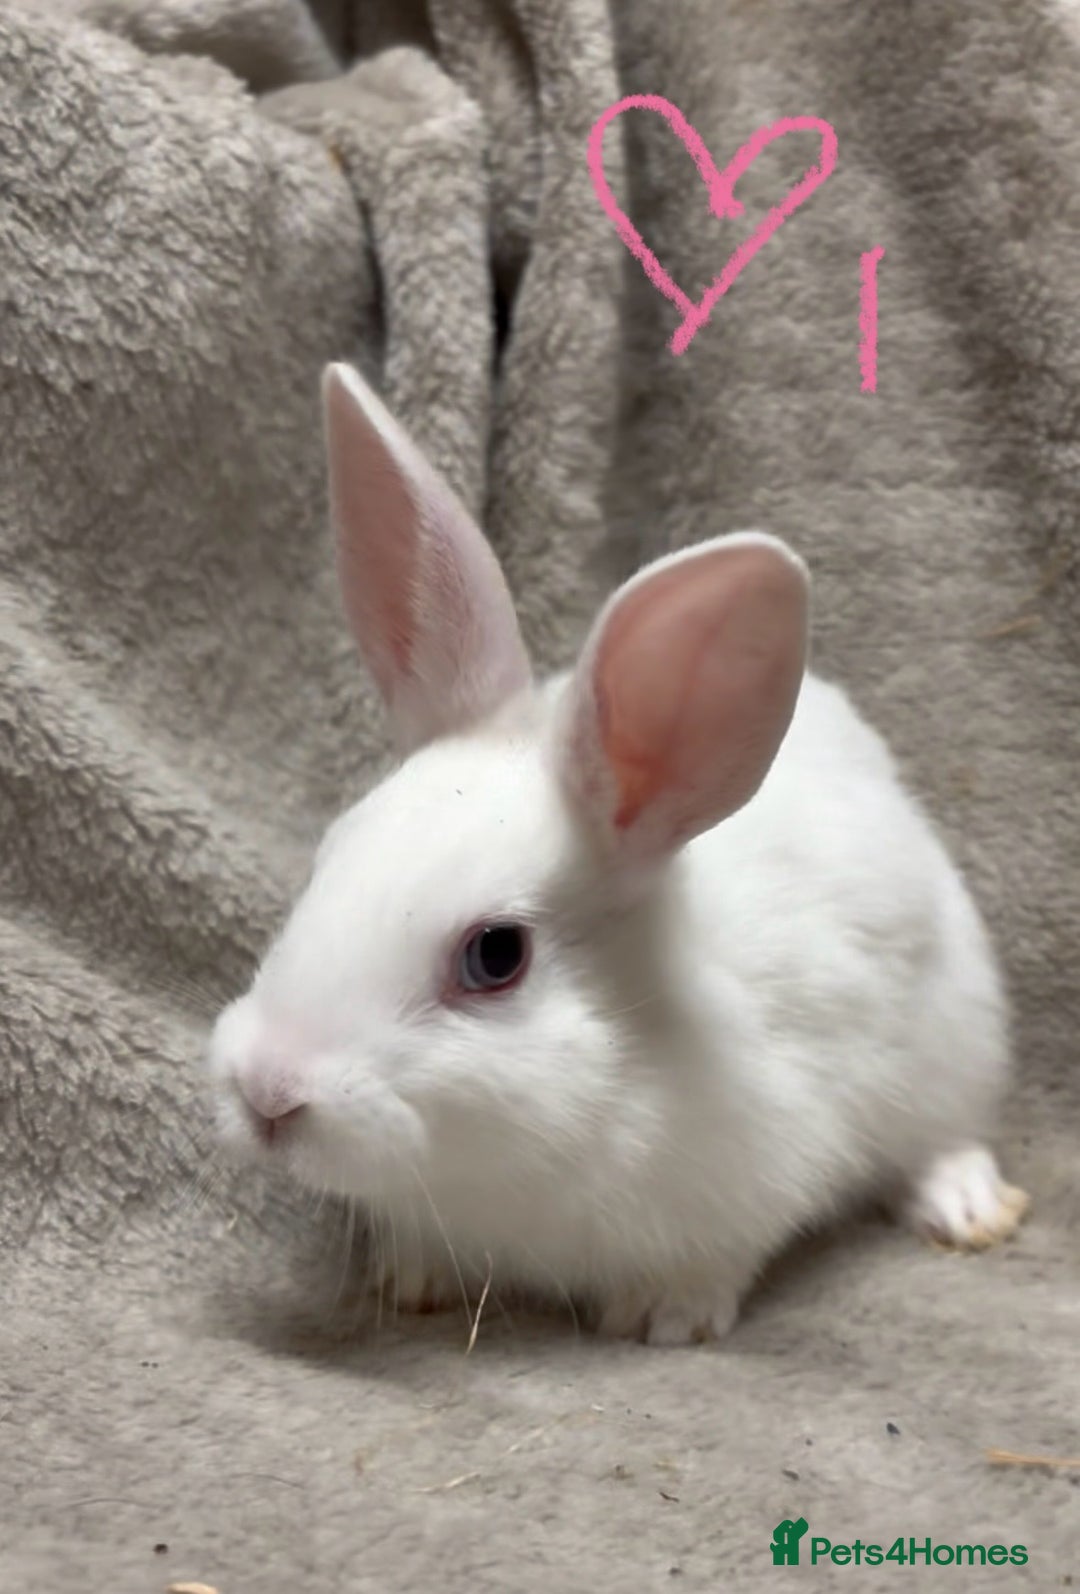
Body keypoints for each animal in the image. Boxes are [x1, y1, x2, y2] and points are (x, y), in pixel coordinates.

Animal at [206, 361, 1030, 1347]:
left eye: (496, 956)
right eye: (328, 857)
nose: (265, 1091)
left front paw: (662, 1318)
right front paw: (411, 1283)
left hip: (955, 1040)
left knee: (944, 1136)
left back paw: (966, 1208)